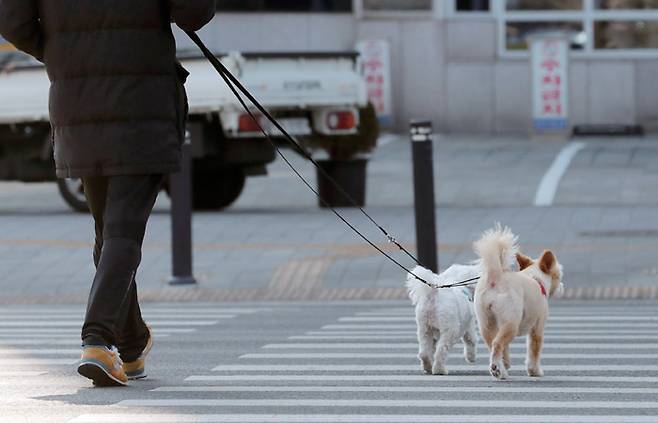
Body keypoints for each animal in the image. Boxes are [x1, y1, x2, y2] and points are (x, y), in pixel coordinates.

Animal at [472, 227, 564, 382]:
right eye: (559, 276)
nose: (562, 286)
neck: (535, 277)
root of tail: (495, 277)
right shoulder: (537, 328)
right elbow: (534, 351)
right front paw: (535, 371)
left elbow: (506, 349)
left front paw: (506, 363)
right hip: (511, 322)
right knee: (497, 344)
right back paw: (497, 369)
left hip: (486, 321)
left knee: (493, 344)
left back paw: (500, 369)